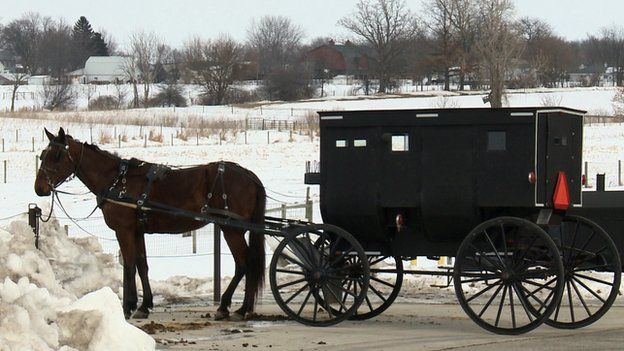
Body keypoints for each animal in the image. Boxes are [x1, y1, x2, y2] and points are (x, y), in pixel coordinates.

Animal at [33, 129, 266, 322]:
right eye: (43, 154)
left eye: (57, 155)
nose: (39, 188)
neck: (118, 181)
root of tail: (249, 175)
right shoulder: (138, 232)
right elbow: (142, 265)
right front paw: (144, 305)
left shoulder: (124, 231)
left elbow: (128, 265)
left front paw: (128, 306)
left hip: (232, 230)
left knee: (245, 264)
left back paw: (233, 308)